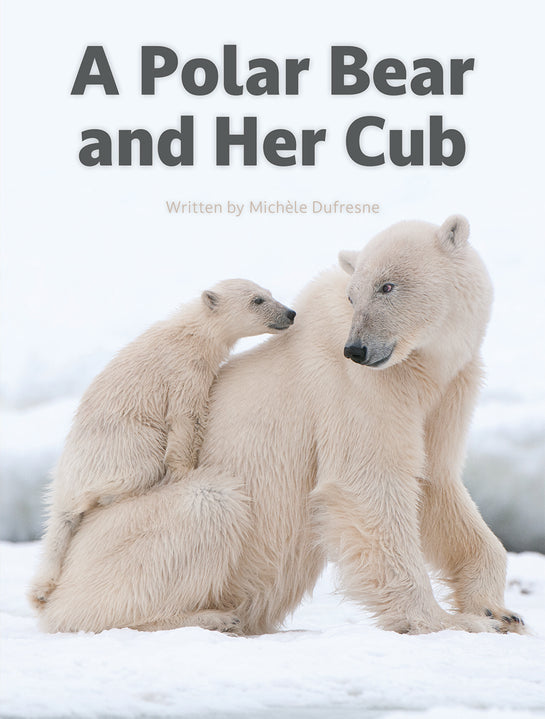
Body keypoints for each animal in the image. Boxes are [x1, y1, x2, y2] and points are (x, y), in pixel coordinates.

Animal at [29, 279, 296, 610]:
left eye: (269, 294)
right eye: (257, 300)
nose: (290, 313)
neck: (191, 332)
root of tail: (65, 480)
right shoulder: (183, 371)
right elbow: (185, 417)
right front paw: (184, 471)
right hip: (124, 445)